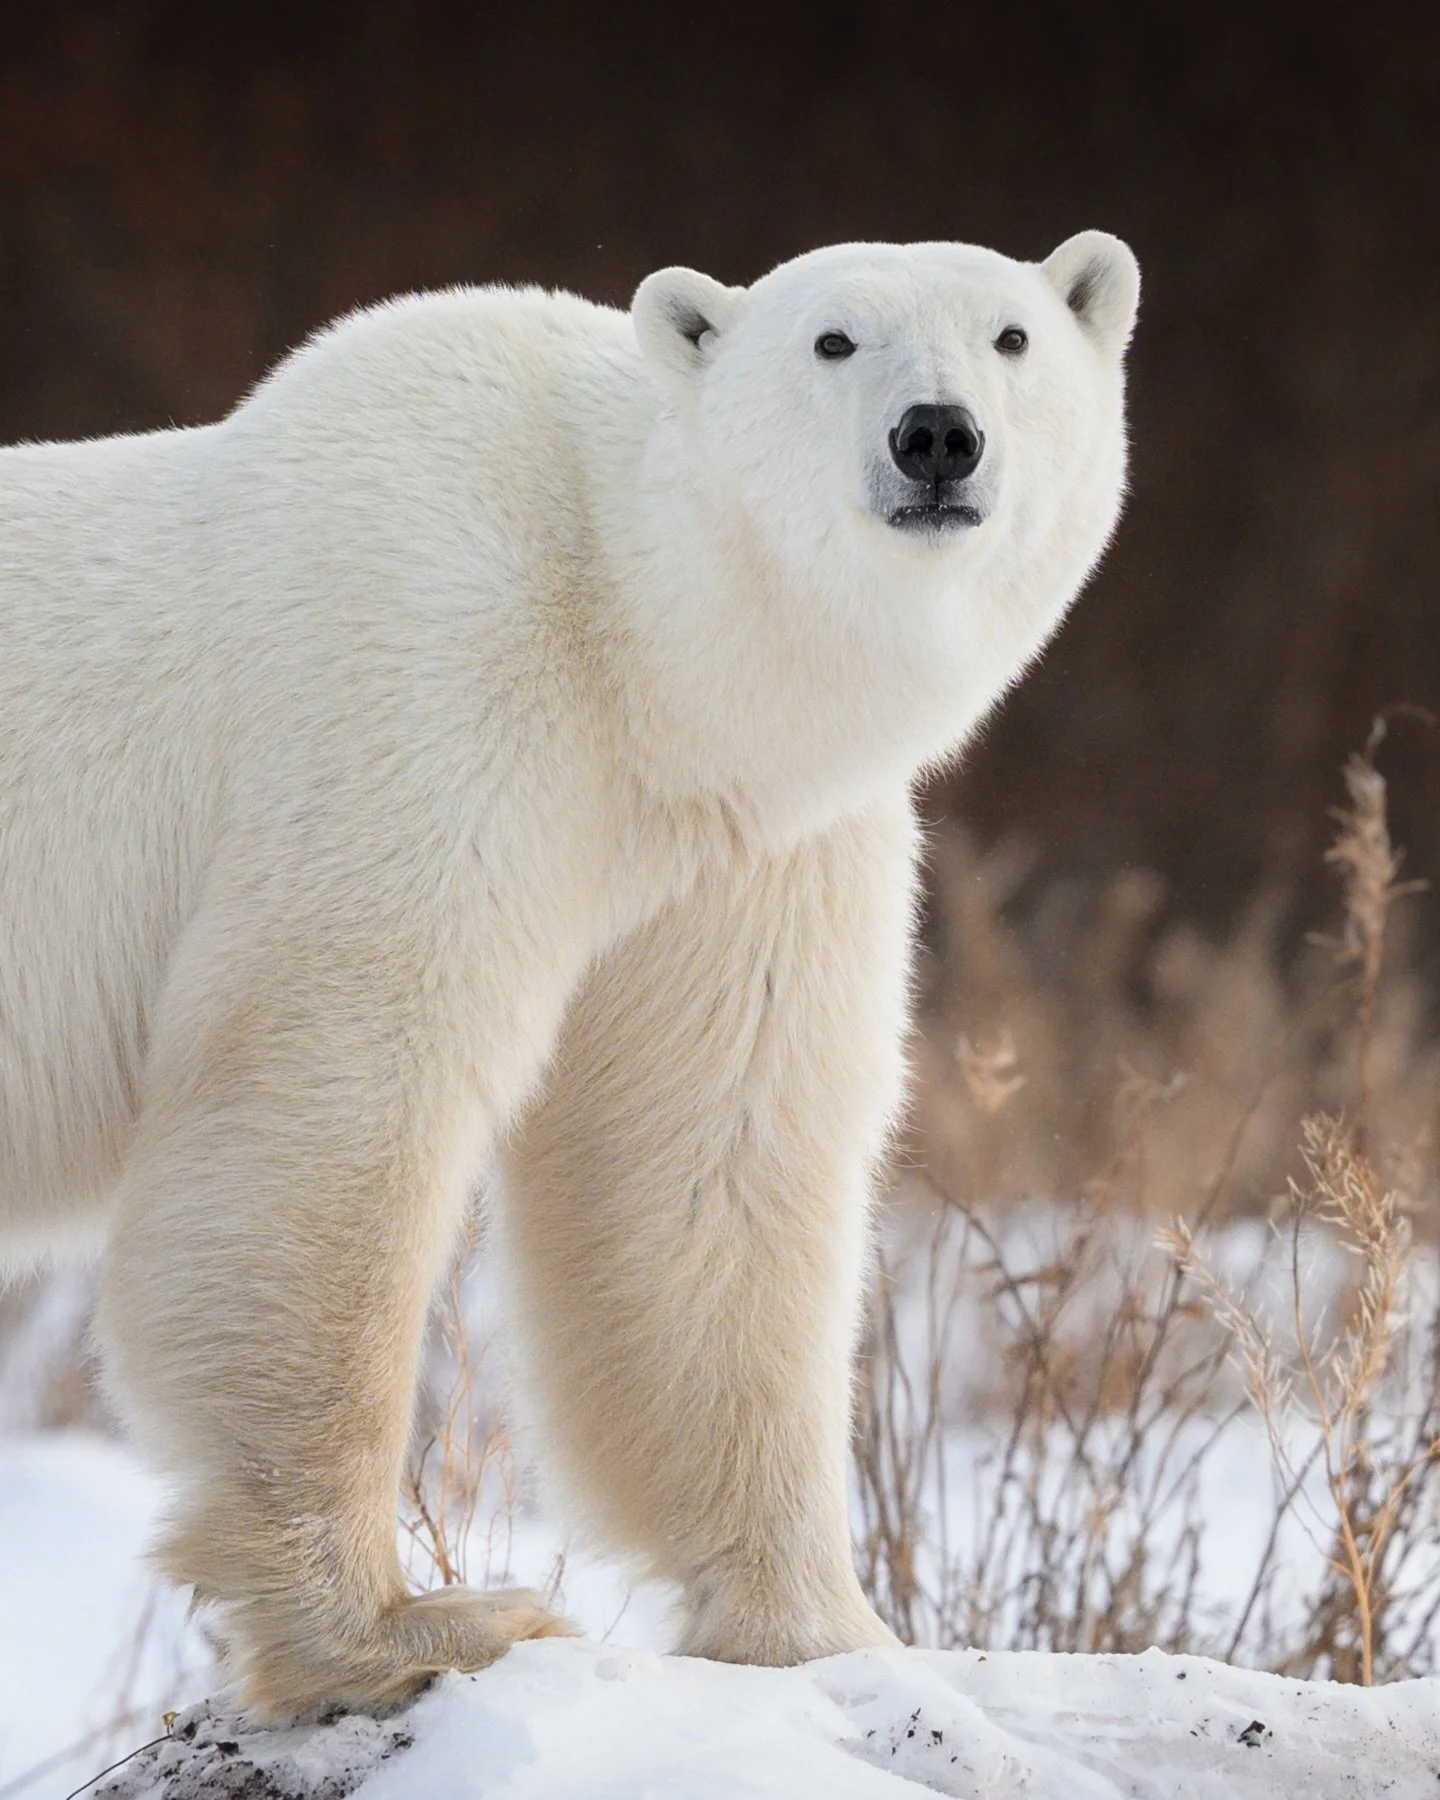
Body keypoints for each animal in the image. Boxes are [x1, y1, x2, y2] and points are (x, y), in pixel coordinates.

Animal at [0, 232, 1139, 1714]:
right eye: (832, 339)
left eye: (1010, 336)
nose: (935, 437)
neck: (617, 607)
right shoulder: (425, 688)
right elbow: (331, 1084)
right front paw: (407, 1627)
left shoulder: (732, 849)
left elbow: (699, 1164)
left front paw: (825, 1631)